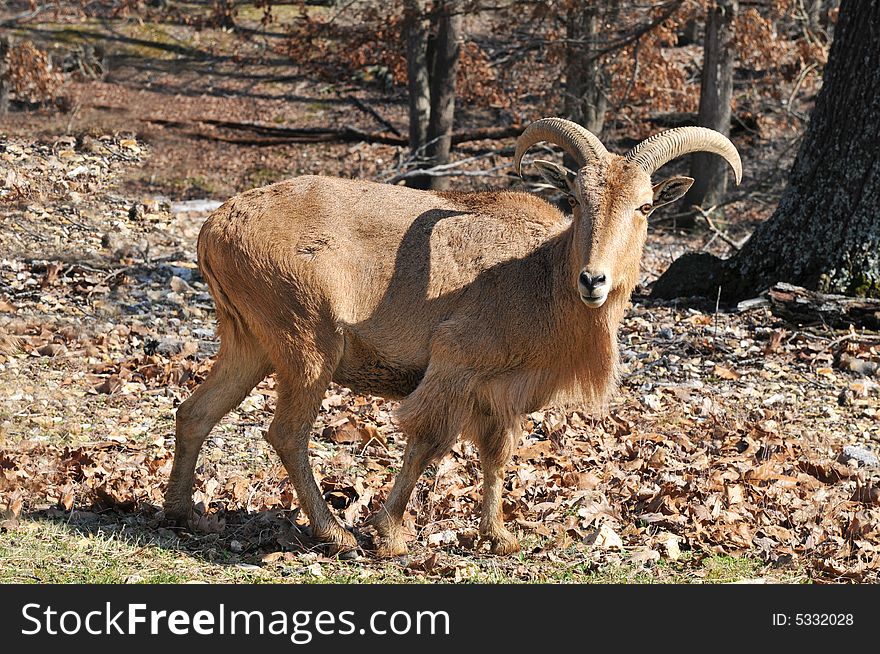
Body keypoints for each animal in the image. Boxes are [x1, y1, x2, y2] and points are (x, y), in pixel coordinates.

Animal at [165, 118, 744, 560]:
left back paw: (183, 514)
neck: (537, 273)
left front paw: (500, 536)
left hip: (251, 345)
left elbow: (497, 454)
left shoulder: (502, 393)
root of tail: (215, 226)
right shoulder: (455, 367)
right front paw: (391, 534)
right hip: (307, 342)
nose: (593, 280)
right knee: (286, 433)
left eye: (644, 206)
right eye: (578, 198)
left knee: (195, 411)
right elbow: (428, 441)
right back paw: (337, 534)